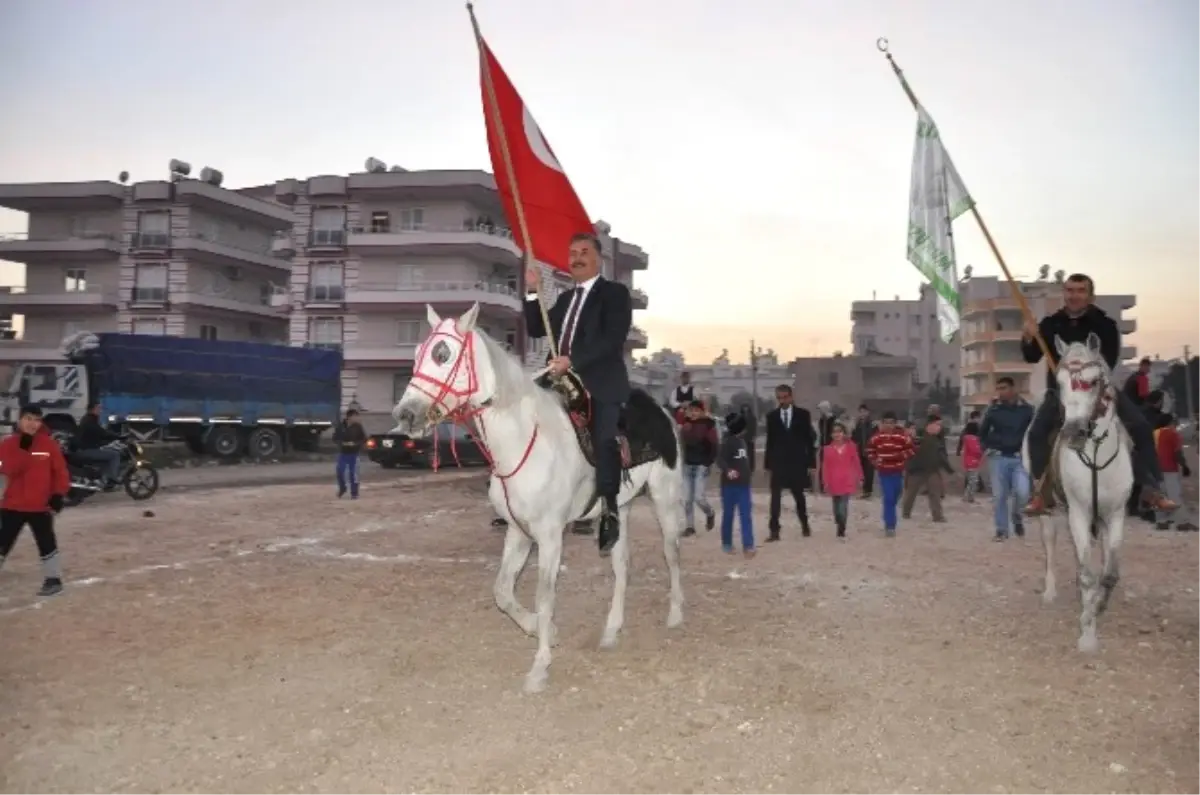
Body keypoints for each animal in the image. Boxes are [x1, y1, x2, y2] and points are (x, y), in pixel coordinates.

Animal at [393, 302, 686, 696]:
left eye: (443, 354)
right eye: (416, 353)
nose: (405, 415)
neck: (523, 440)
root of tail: (662, 411)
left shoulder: (549, 536)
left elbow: (545, 597)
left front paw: (539, 667)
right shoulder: (518, 532)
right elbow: (502, 592)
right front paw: (540, 630)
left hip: (665, 499)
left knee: (671, 553)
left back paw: (675, 614)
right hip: (619, 509)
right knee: (622, 565)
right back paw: (611, 631)